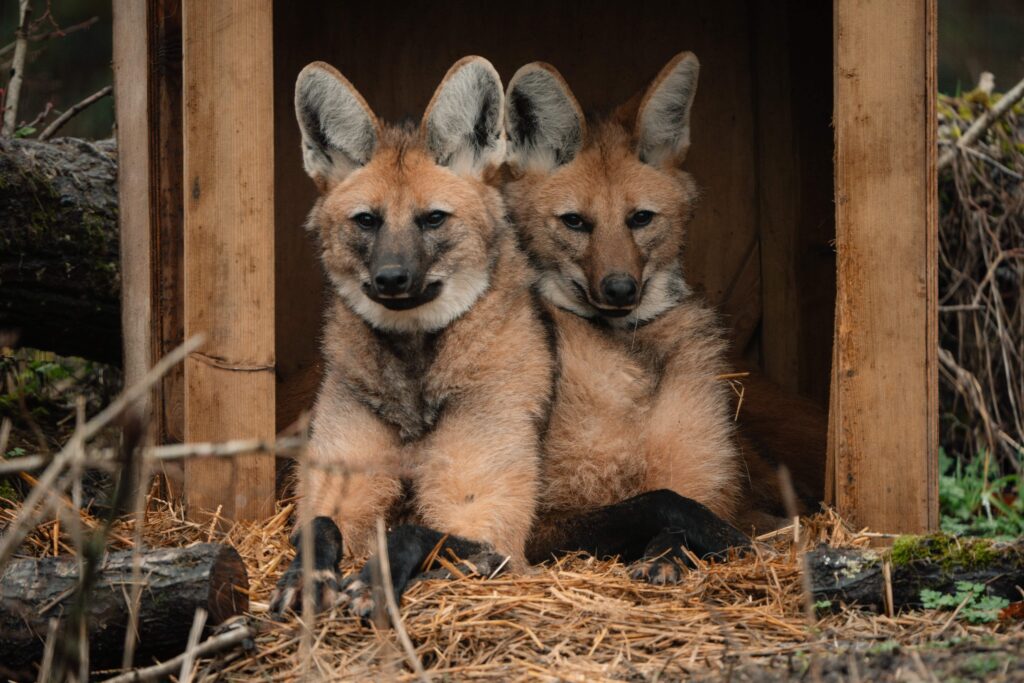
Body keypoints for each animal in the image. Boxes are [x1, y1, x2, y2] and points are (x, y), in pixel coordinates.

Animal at [270, 56, 555, 616]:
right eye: (367, 220)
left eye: (433, 219)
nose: (391, 279)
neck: (413, 382)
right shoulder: (337, 486)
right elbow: (321, 524)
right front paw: (304, 579)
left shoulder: (490, 525)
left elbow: (416, 533)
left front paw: (371, 584)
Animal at [503, 53, 823, 581]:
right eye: (575, 222)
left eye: (640, 219)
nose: (619, 289)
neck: (630, 361)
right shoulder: (537, 528)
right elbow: (660, 502)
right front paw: (695, 544)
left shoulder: (718, 487)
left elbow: (690, 504)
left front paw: (678, 552)